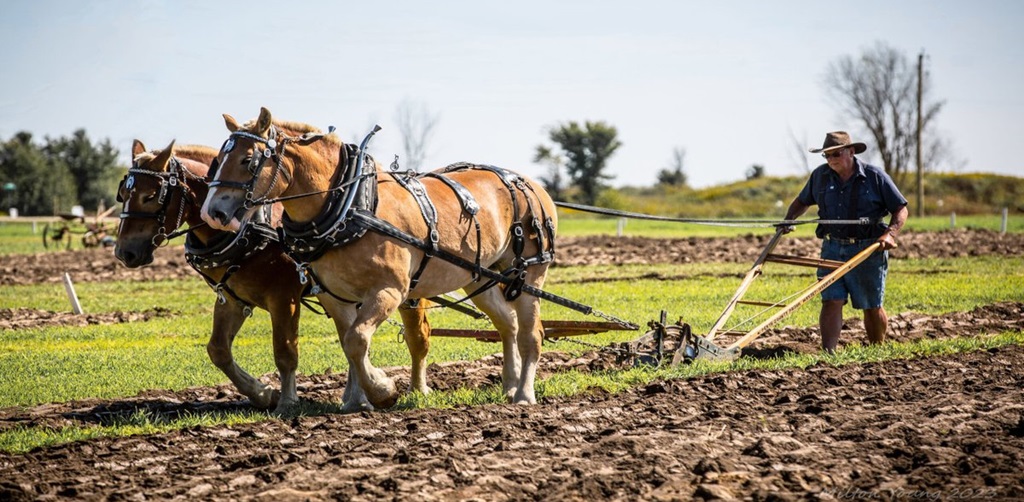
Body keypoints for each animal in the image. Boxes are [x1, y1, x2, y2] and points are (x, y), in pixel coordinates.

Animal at [115, 139, 433, 414]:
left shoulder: (283, 296)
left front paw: (287, 400)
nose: (124, 252)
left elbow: (285, 350)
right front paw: (262, 393)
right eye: (123, 194)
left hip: (405, 293)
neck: (247, 229)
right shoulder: (232, 297)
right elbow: (218, 350)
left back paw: (415, 389)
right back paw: (356, 396)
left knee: (418, 337)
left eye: (150, 196)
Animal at [201, 107, 557, 408]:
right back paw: (509, 384)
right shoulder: (334, 296)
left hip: (530, 271)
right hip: (480, 276)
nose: (212, 212)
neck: (350, 206)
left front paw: (382, 390)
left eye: (248, 160)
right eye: (217, 160)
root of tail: (531, 184)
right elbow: (348, 343)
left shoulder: (389, 291)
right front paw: (357, 400)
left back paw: (524, 394)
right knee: (508, 324)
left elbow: (358, 340)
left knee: (531, 334)